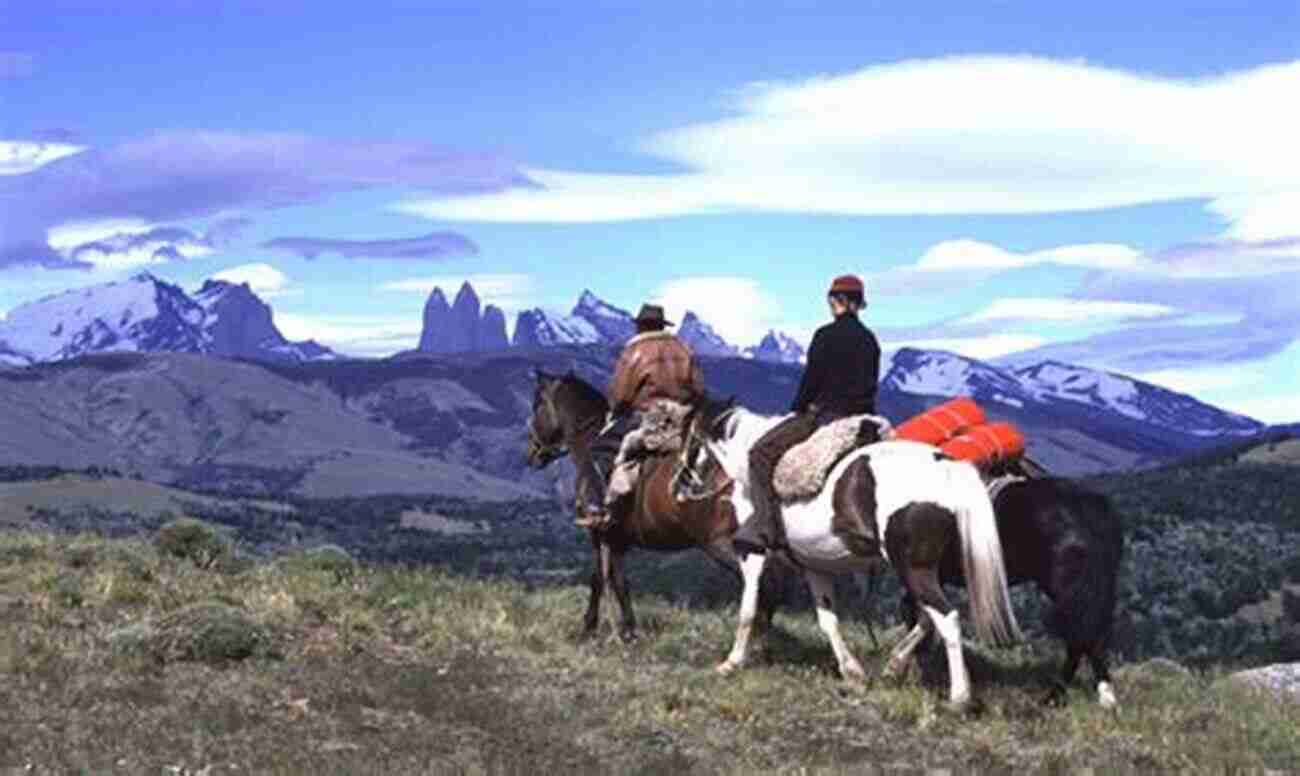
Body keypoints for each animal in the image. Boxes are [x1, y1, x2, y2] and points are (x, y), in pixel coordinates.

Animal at [525, 369, 774, 642]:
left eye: (537, 404)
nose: (532, 454)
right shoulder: (617, 540)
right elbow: (617, 580)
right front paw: (628, 630)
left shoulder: (599, 534)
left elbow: (600, 578)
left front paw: (591, 627)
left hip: (723, 544)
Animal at [686, 395, 1019, 707]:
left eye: (691, 437)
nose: (685, 484)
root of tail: (947, 466)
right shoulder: (814, 566)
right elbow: (827, 620)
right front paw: (852, 673)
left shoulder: (752, 552)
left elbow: (748, 608)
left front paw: (732, 662)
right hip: (926, 570)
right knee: (927, 618)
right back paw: (895, 665)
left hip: (913, 568)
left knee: (946, 617)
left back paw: (959, 697)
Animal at [894, 475, 1128, 707]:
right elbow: (924, 618)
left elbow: (917, 614)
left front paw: (904, 665)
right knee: (1089, 636)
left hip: (1069, 589)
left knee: (1081, 637)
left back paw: (1062, 695)